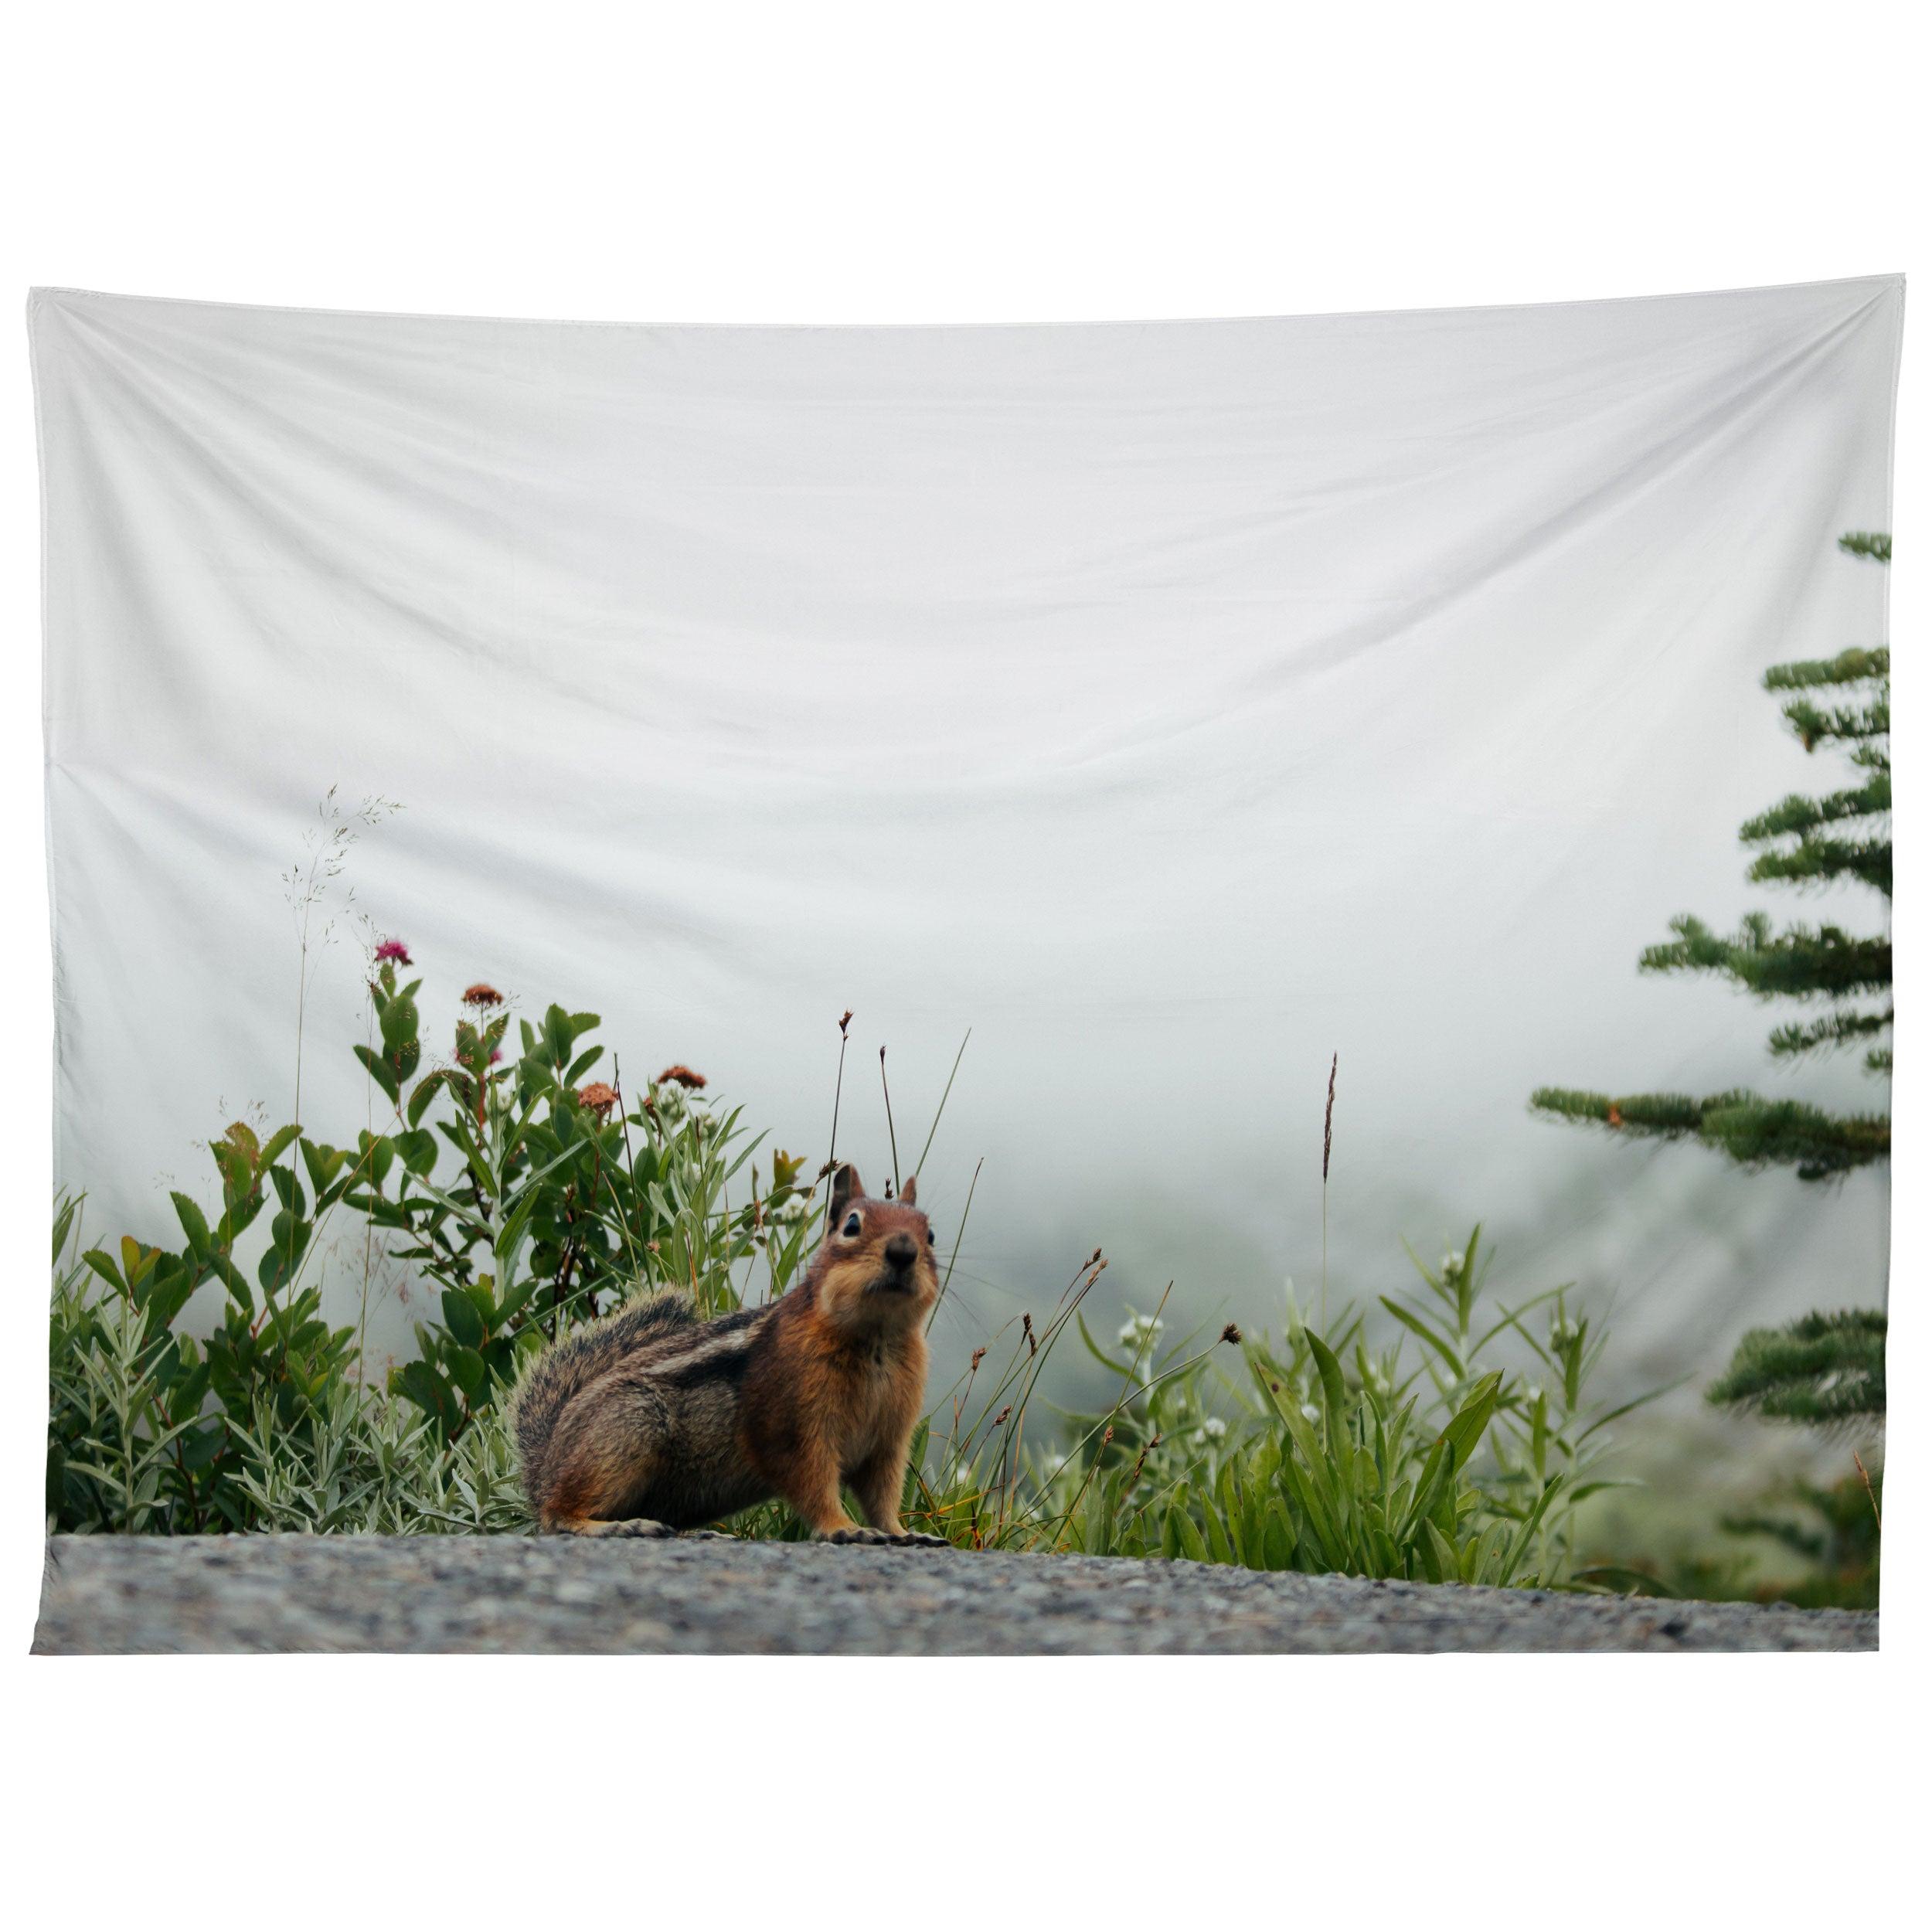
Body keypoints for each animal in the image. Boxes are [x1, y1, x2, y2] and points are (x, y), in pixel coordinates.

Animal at [508, 1164, 946, 1545]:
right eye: (852, 1226)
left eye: (930, 1234)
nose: (903, 1251)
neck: (877, 1339)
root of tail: (544, 1467)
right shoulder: (794, 1428)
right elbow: (814, 1485)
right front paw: (844, 1528)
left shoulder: (888, 1440)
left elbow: (883, 1497)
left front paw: (905, 1533)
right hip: (627, 1427)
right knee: (557, 1514)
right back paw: (620, 1526)